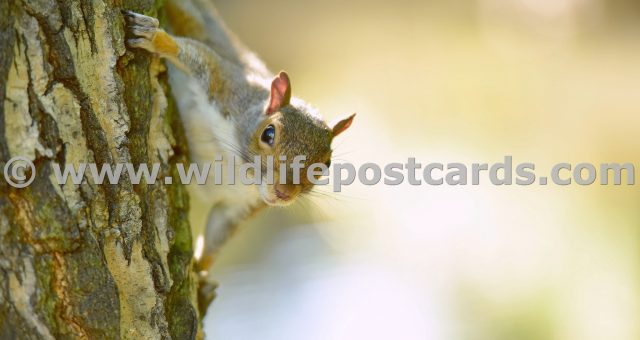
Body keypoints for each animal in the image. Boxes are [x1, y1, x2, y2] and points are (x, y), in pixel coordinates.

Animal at [121, 1, 356, 274]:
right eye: (268, 133)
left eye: (325, 164)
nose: (284, 193)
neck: (241, 170)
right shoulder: (226, 86)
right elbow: (198, 57)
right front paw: (156, 39)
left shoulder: (240, 208)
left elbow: (218, 233)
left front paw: (199, 272)